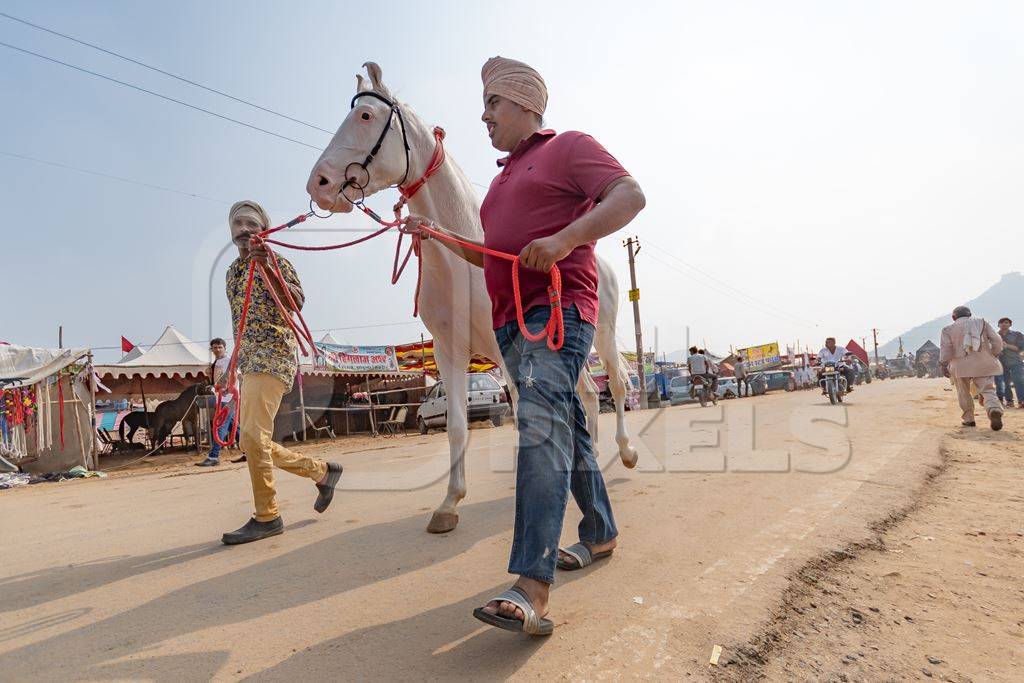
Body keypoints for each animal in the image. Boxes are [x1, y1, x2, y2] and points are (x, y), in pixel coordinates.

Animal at [307, 62, 634, 532]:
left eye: (365, 116)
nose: (319, 184)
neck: (462, 268)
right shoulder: (451, 351)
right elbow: (459, 426)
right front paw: (448, 504)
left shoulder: (510, 350)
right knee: (590, 395)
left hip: (600, 336)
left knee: (618, 386)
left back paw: (625, 452)